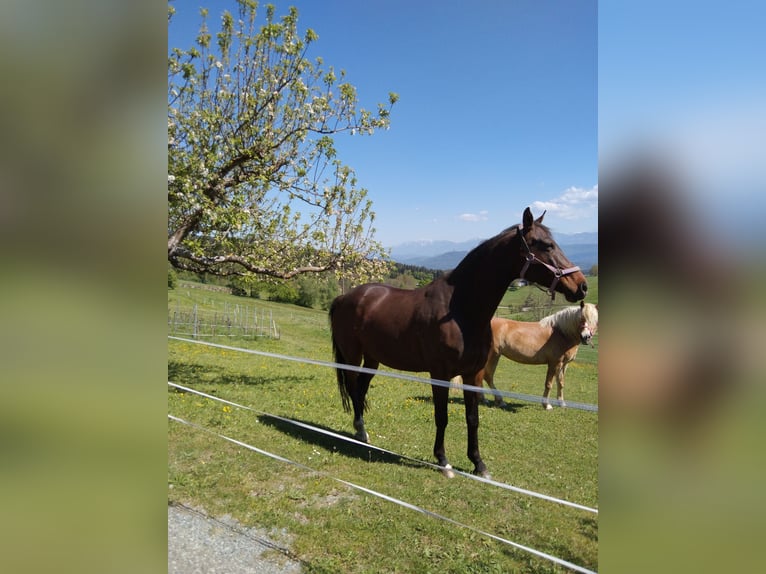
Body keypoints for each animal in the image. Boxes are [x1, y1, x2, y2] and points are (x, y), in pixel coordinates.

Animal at [330, 209, 588, 480]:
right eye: (546, 245)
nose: (582, 285)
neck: (461, 310)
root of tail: (344, 297)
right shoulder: (440, 374)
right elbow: (441, 416)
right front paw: (443, 461)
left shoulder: (472, 374)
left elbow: (472, 418)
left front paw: (478, 463)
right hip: (352, 357)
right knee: (353, 389)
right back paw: (360, 430)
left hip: (372, 359)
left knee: (360, 390)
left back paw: (362, 432)